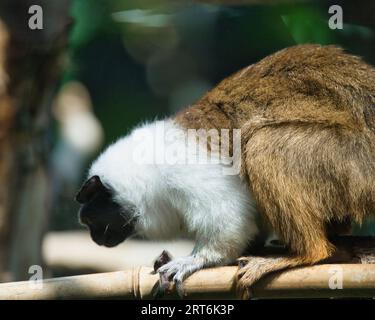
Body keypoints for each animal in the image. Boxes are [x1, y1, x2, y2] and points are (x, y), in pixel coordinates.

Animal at [75, 45, 375, 298]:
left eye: (91, 222)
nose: (94, 238)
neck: (150, 169)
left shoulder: (180, 172)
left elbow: (230, 218)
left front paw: (199, 260)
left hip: (353, 159)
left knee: (263, 143)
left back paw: (305, 253)